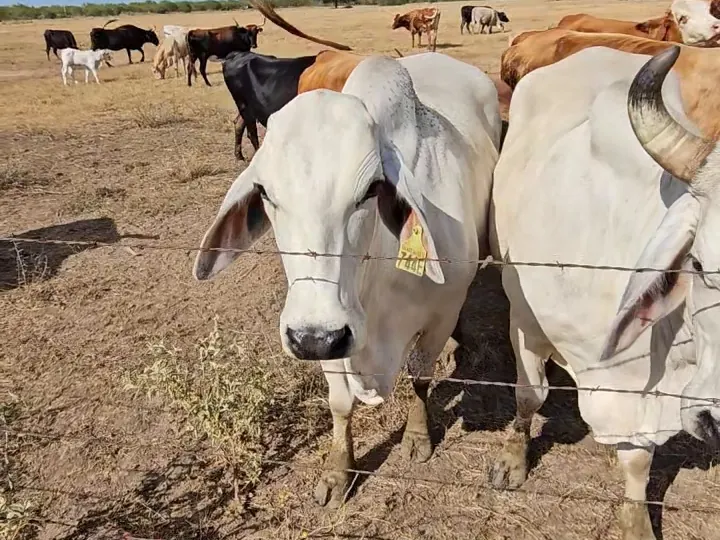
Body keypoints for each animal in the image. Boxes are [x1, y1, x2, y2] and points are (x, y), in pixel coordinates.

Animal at [193, 51, 501, 508]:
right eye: (264, 192)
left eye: (372, 189)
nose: (313, 338)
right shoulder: (335, 336)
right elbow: (340, 404)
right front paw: (339, 472)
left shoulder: (436, 317)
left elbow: (420, 376)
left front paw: (416, 437)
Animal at [490, 44, 720, 540]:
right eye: (698, 263)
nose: (713, 419)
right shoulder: (524, 321)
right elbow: (528, 395)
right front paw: (512, 460)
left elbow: (638, 460)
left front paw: (635, 520)